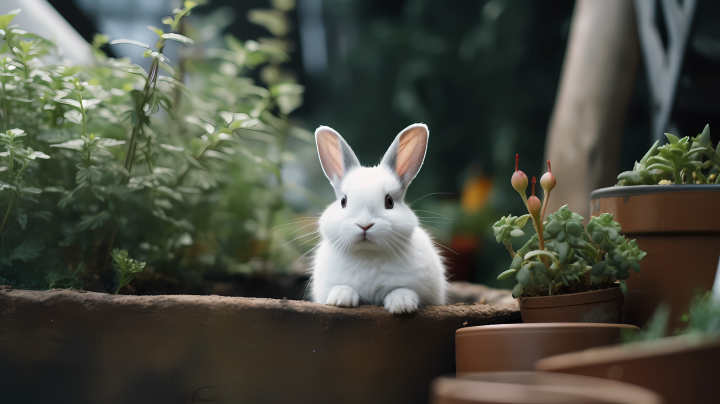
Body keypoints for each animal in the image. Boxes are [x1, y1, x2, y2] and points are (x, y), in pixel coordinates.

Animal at [308, 124, 444, 314]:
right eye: (343, 201)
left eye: (389, 201)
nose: (364, 225)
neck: (368, 254)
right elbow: (342, 287)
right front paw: (340, 299)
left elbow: (402, 289)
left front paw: (402, 305)